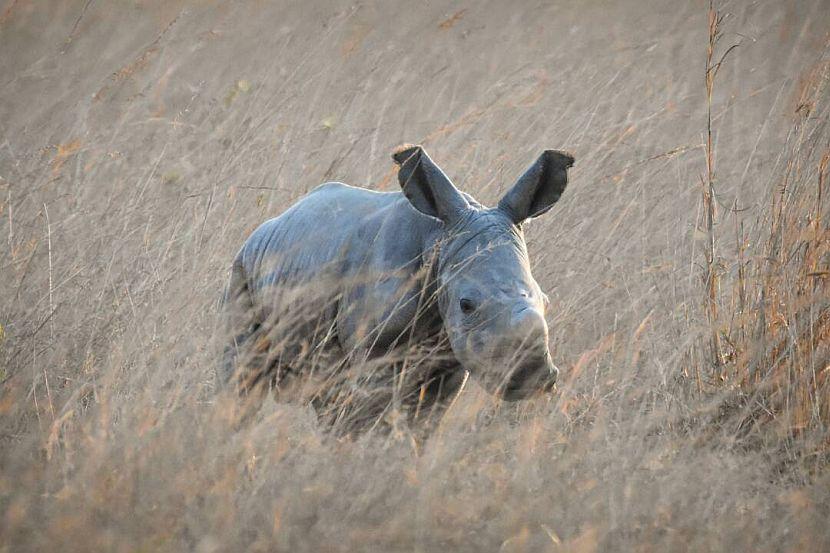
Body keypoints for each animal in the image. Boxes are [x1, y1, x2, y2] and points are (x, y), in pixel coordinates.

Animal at [221, 144, 572, 416]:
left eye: (546, 301)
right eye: (466, 304)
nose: (532, 378)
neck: (438, 237)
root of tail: (271, 224)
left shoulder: (450, 365)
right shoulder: (373, 352)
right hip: (243, 268)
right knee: (244, 379)